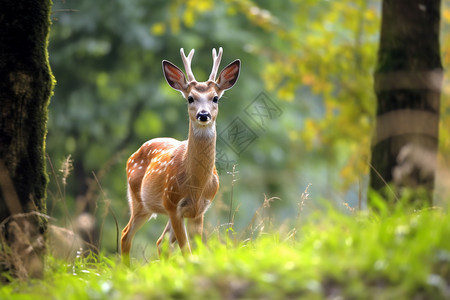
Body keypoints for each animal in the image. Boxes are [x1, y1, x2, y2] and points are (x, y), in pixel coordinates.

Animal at [119, 47, 239, 264]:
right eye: (190, 98)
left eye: (215, 98)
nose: (203, 115)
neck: (196, 185)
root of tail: (133, 155)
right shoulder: (173, 204)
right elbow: (187, 250)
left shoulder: (198, 211)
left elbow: (196, 250)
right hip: (140, 201)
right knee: (126, 234)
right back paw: (125, 269)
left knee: (160, 242)